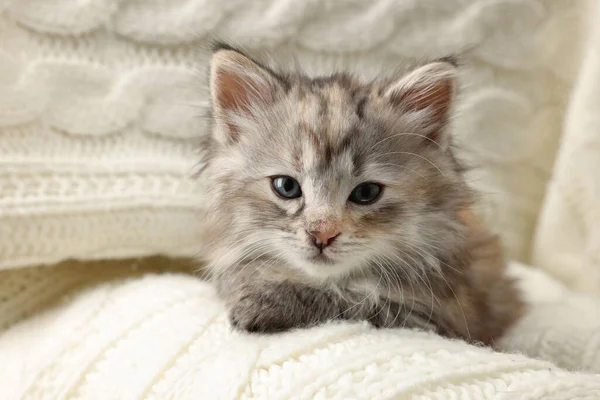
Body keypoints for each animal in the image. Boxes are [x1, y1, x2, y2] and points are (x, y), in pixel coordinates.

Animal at [199, 43, 524, 344]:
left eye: (366, 192)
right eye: (286, 187)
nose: (322, 235)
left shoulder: (436, 316)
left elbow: (348, 298)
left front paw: (266, 302)